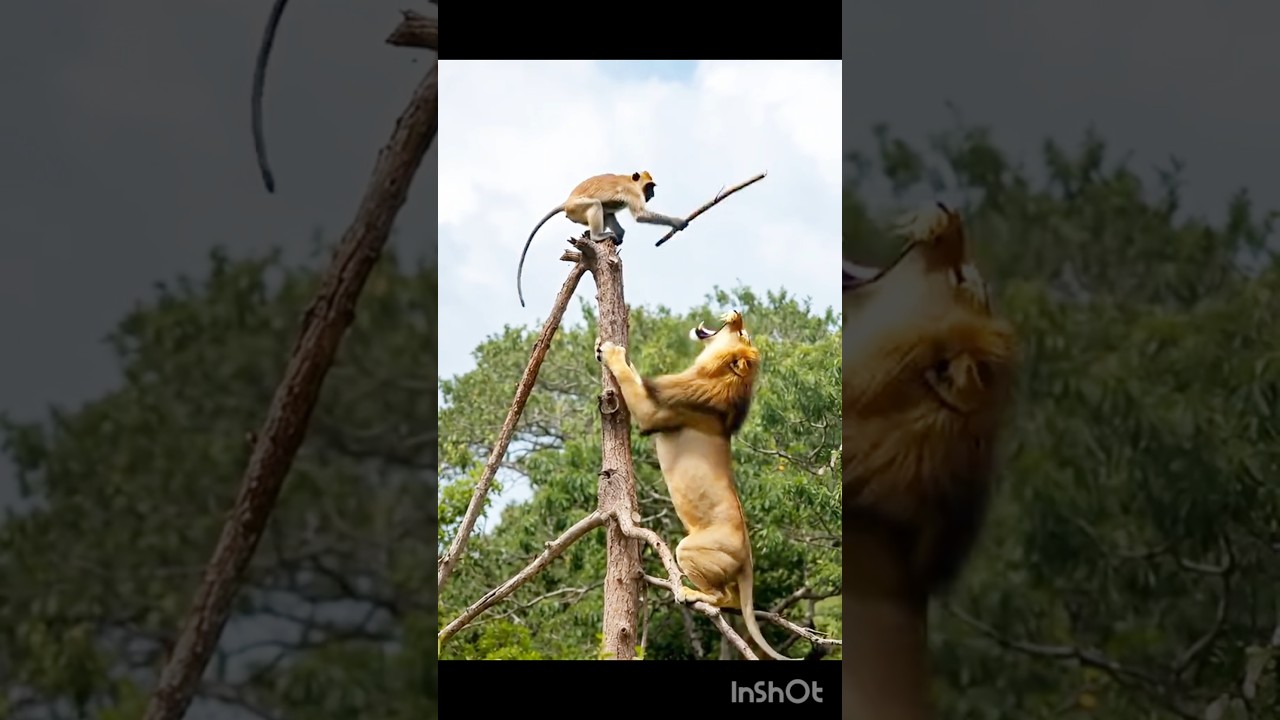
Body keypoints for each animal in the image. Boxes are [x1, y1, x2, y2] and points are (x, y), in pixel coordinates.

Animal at [517, 172, 689, 307]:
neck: (629, 180)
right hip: (577, 208)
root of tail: (567, 202)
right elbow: (640, 215)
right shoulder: (632, 192)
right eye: (649, 187)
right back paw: (596, 236)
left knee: (606, 210)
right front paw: (677, 222)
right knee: (596, 204)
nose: (652, 194)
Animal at [595, 310, 798, 661]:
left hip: (689, 549)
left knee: (719, 595)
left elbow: (630, 378)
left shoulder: (654, 413)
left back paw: (692, 594)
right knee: (732, 598)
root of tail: (748, 562)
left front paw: (612, 352)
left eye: (742, 334)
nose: (736, 312)